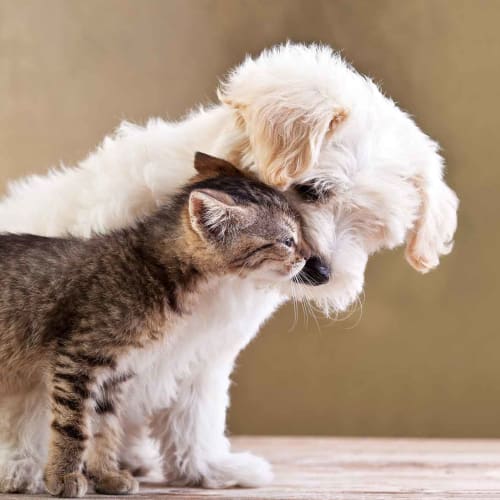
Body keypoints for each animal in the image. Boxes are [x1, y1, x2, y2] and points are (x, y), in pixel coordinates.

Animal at [0, 152, 308, 496]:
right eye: (287, 241)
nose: (309, 258)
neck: (154, 268)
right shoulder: (77, 359)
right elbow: (74, 427)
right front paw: (63, 476)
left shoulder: (114, 375)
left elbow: (104, 429)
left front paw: (106, 474)